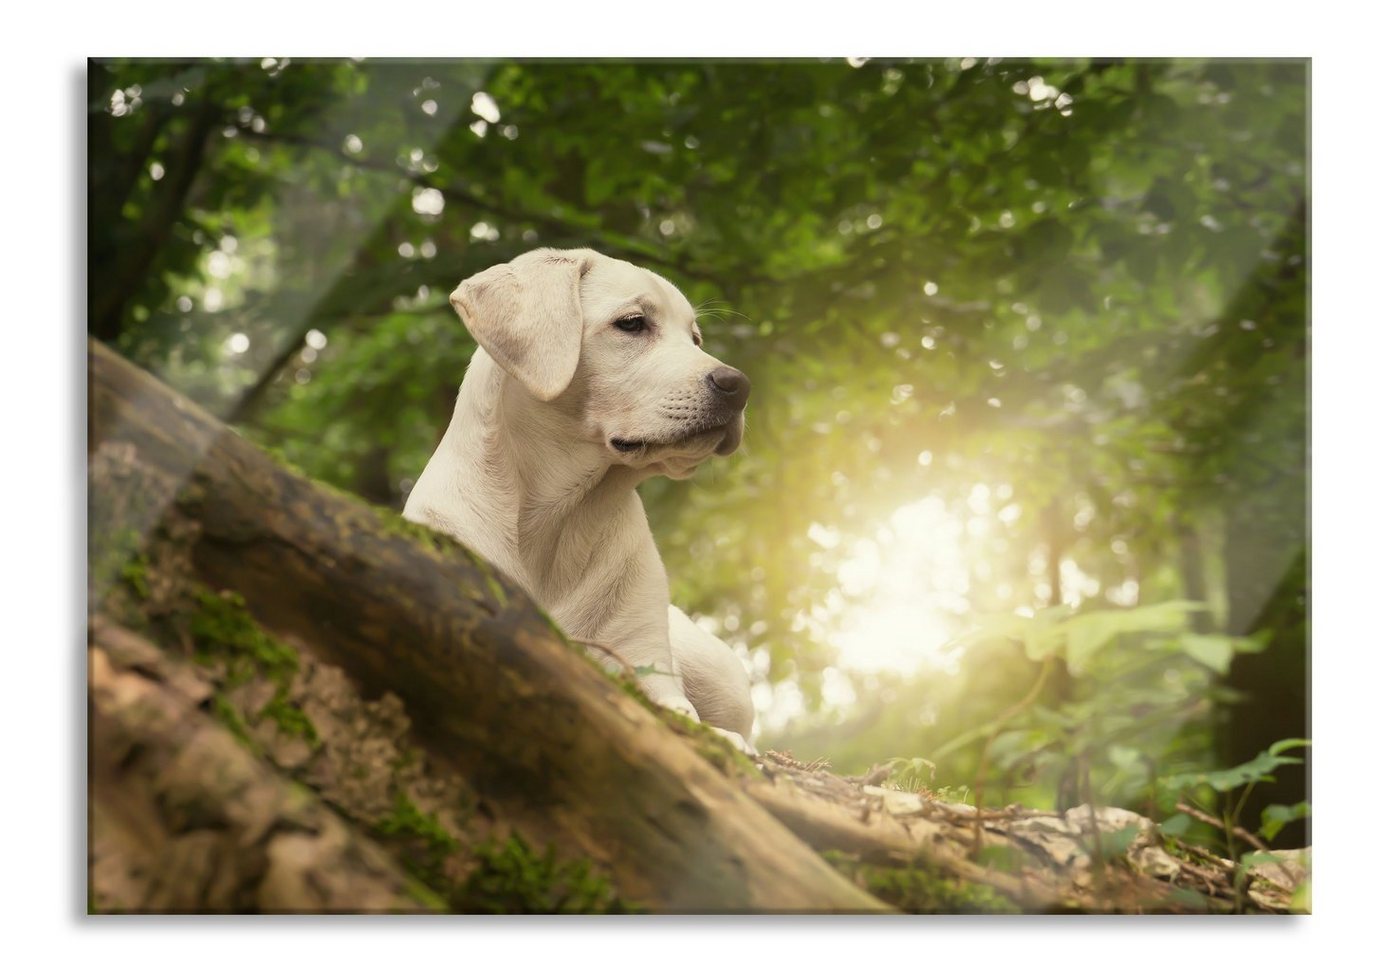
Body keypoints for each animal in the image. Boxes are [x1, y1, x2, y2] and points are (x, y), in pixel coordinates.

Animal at [406, 247, 756, 750]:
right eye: (632, 323)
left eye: (695, 337)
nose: (740, 385)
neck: (559, 516)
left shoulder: (642, 656)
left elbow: (678, 710)